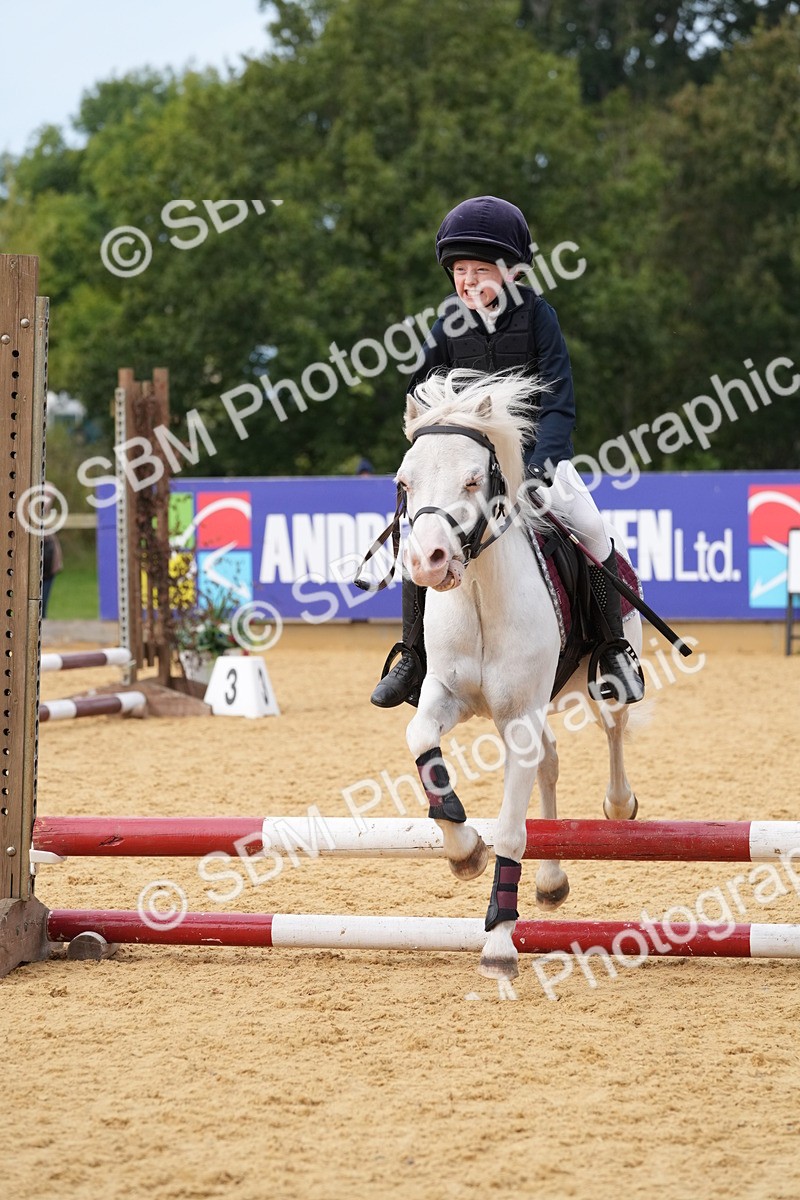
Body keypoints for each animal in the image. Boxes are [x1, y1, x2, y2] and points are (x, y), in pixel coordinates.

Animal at [396, 368, 642, 982]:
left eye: (472, 480)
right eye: (405, 482)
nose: (428, 561)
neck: (482, 597)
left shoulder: (520, 721)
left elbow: (511, 828)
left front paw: (500, 943)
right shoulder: (449, 696)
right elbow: (421, 740)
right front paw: (463, 848)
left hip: (597, 686)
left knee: (613, 730)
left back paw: (618, 806)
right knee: (551, 766)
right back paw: (552, 881)